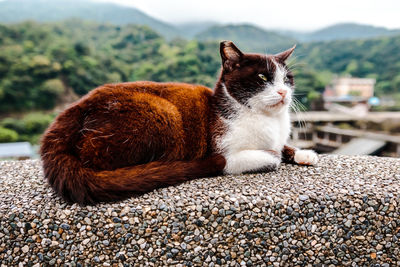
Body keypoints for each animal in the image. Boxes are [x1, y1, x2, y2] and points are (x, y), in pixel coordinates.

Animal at [39, 40, 316, 205]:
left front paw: (304, 154)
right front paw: (273, 156)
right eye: (262, 78)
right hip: (163, 110)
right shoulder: (224, 150)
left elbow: (284, 147)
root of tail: (73, 109)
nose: (284, 92)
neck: (268, 120)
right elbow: (266, 157)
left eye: (287, 79)